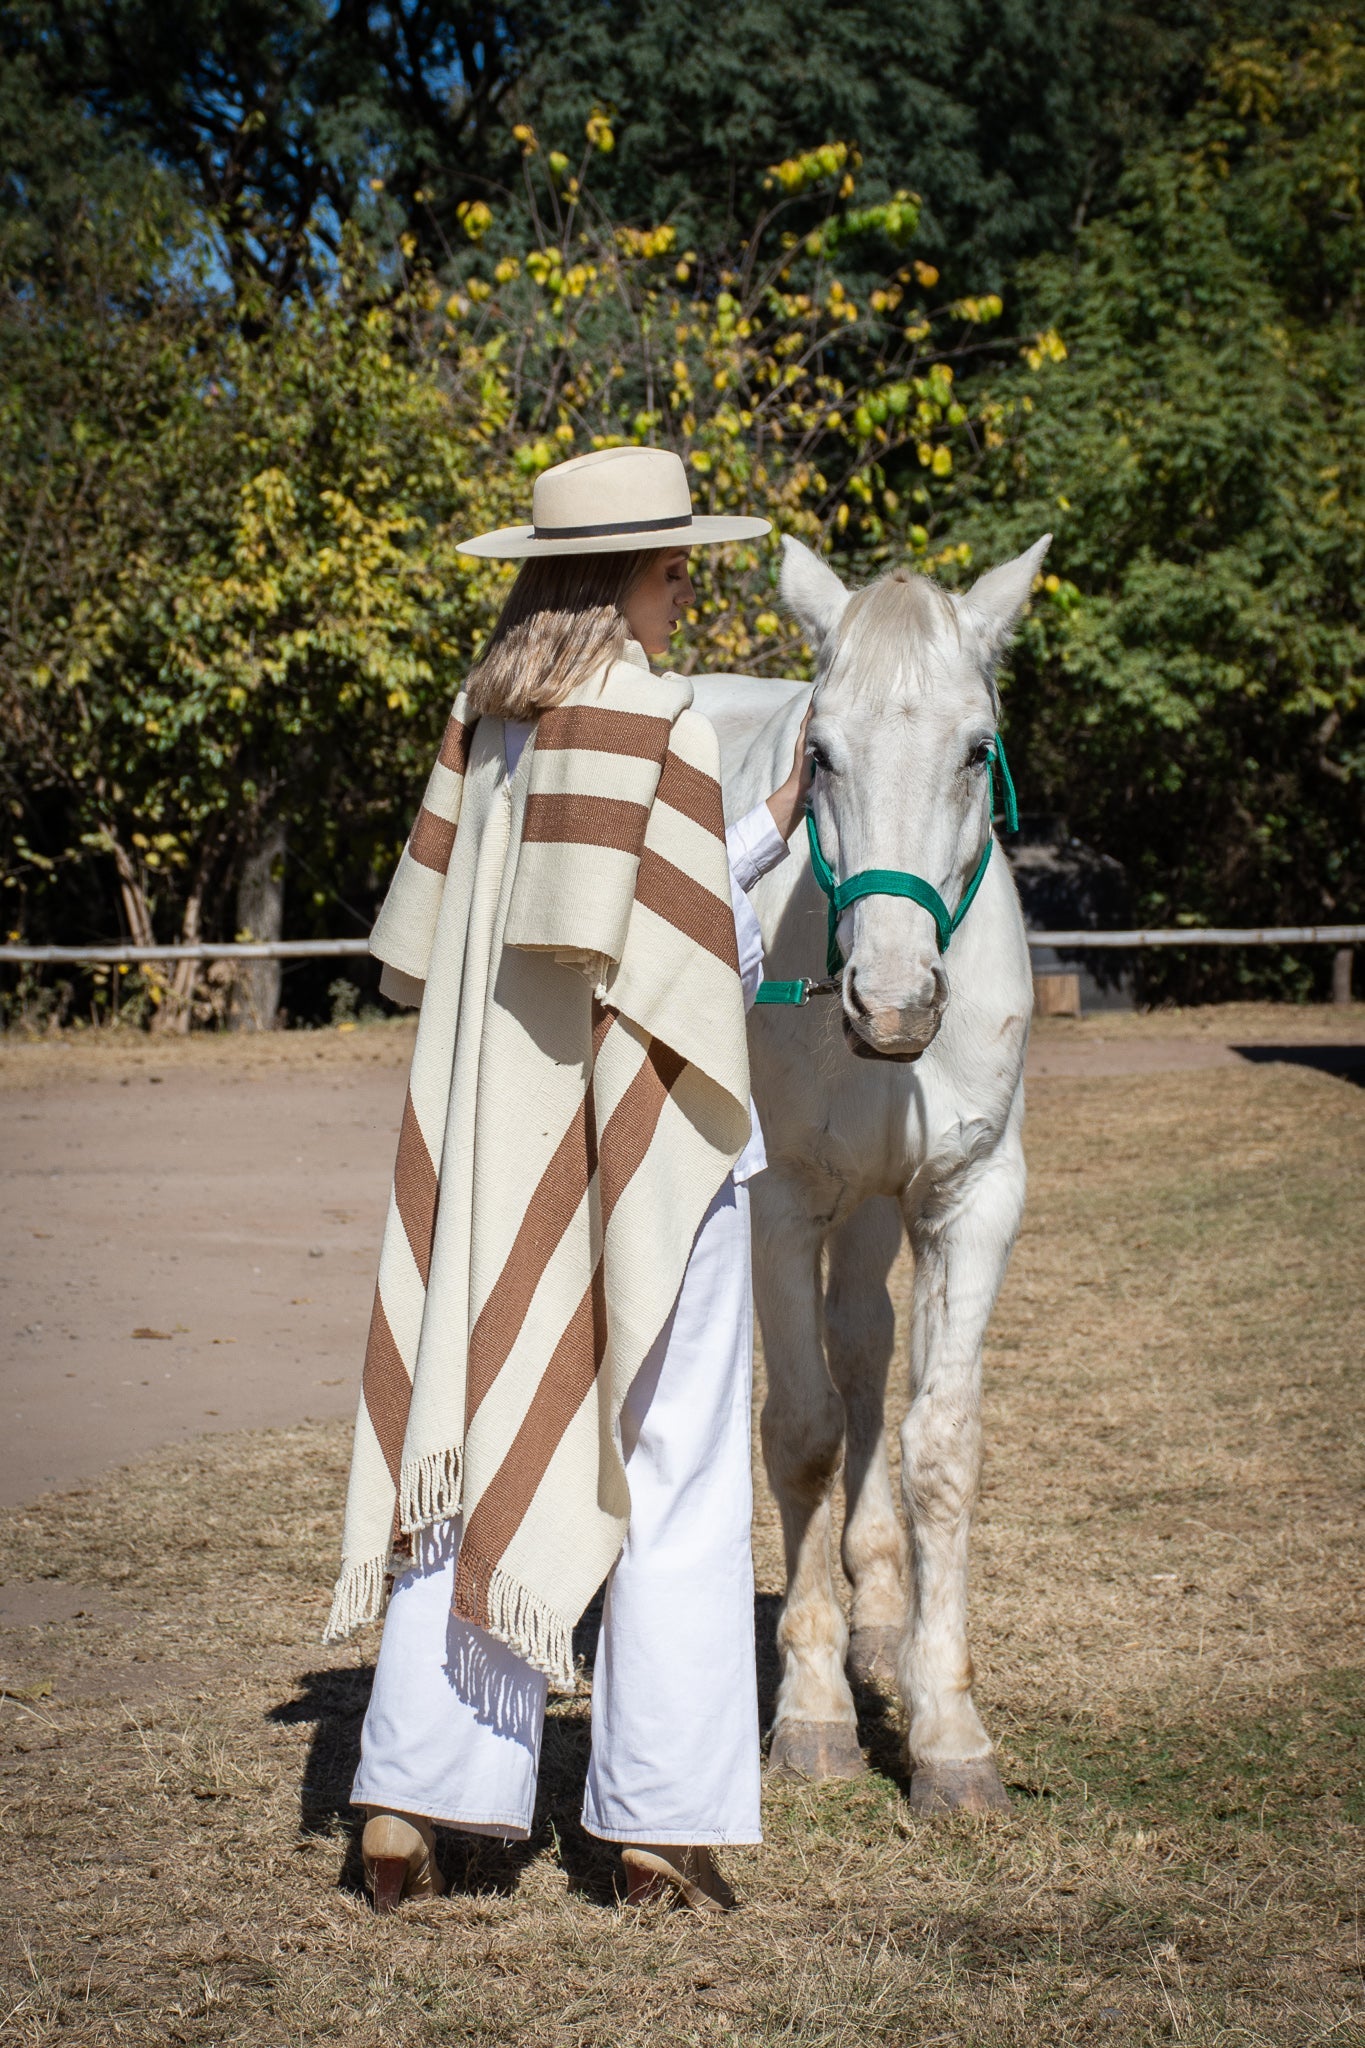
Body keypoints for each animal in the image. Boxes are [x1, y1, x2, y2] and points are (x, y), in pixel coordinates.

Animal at [699, 532, 1055, 1810]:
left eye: (974, 748)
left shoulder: (966, 1199)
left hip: (869, 1211)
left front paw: (947, 1727)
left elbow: (936, 1443)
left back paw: (878, 1619)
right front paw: (810, 1714)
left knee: (862, 1345)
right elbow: (800, 1431)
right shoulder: (779, 1203)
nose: (891, 1002)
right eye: (823, 752)